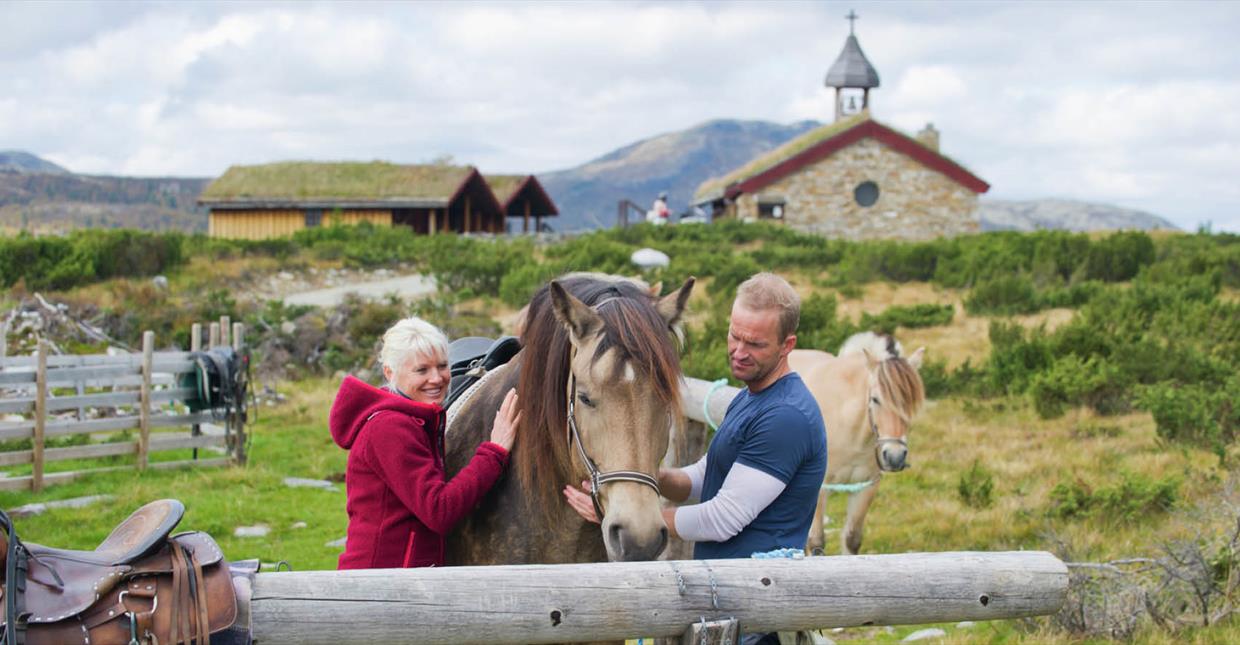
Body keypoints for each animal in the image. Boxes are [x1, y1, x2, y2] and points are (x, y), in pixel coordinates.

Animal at [788, 332, 927, 553]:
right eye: (876, 399)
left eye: (910, 402)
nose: (895, 456)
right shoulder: (820, 488)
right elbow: (816, 542)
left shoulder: (866, 486)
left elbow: (852, 539)